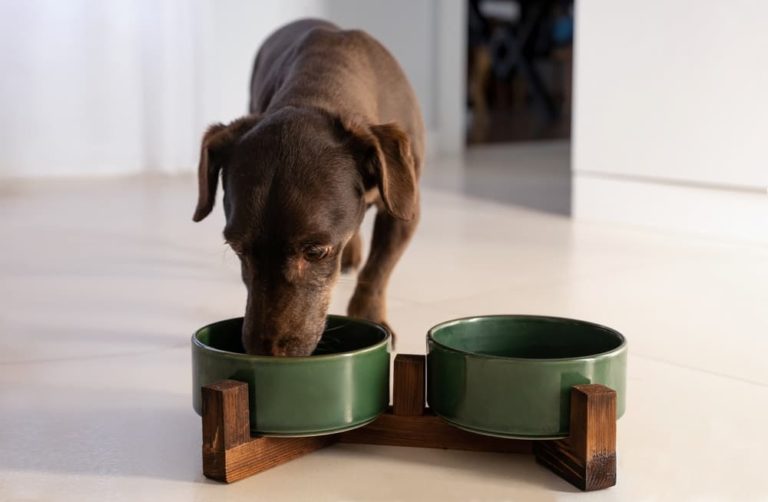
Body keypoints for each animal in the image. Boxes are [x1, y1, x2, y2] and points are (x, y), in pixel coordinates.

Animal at [190, 19, 420, 356]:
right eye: (237, 248)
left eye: (315, 252)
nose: (265, 352)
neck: (318, 91)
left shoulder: (403, 209)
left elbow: (376, 271)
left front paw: (370, 316)